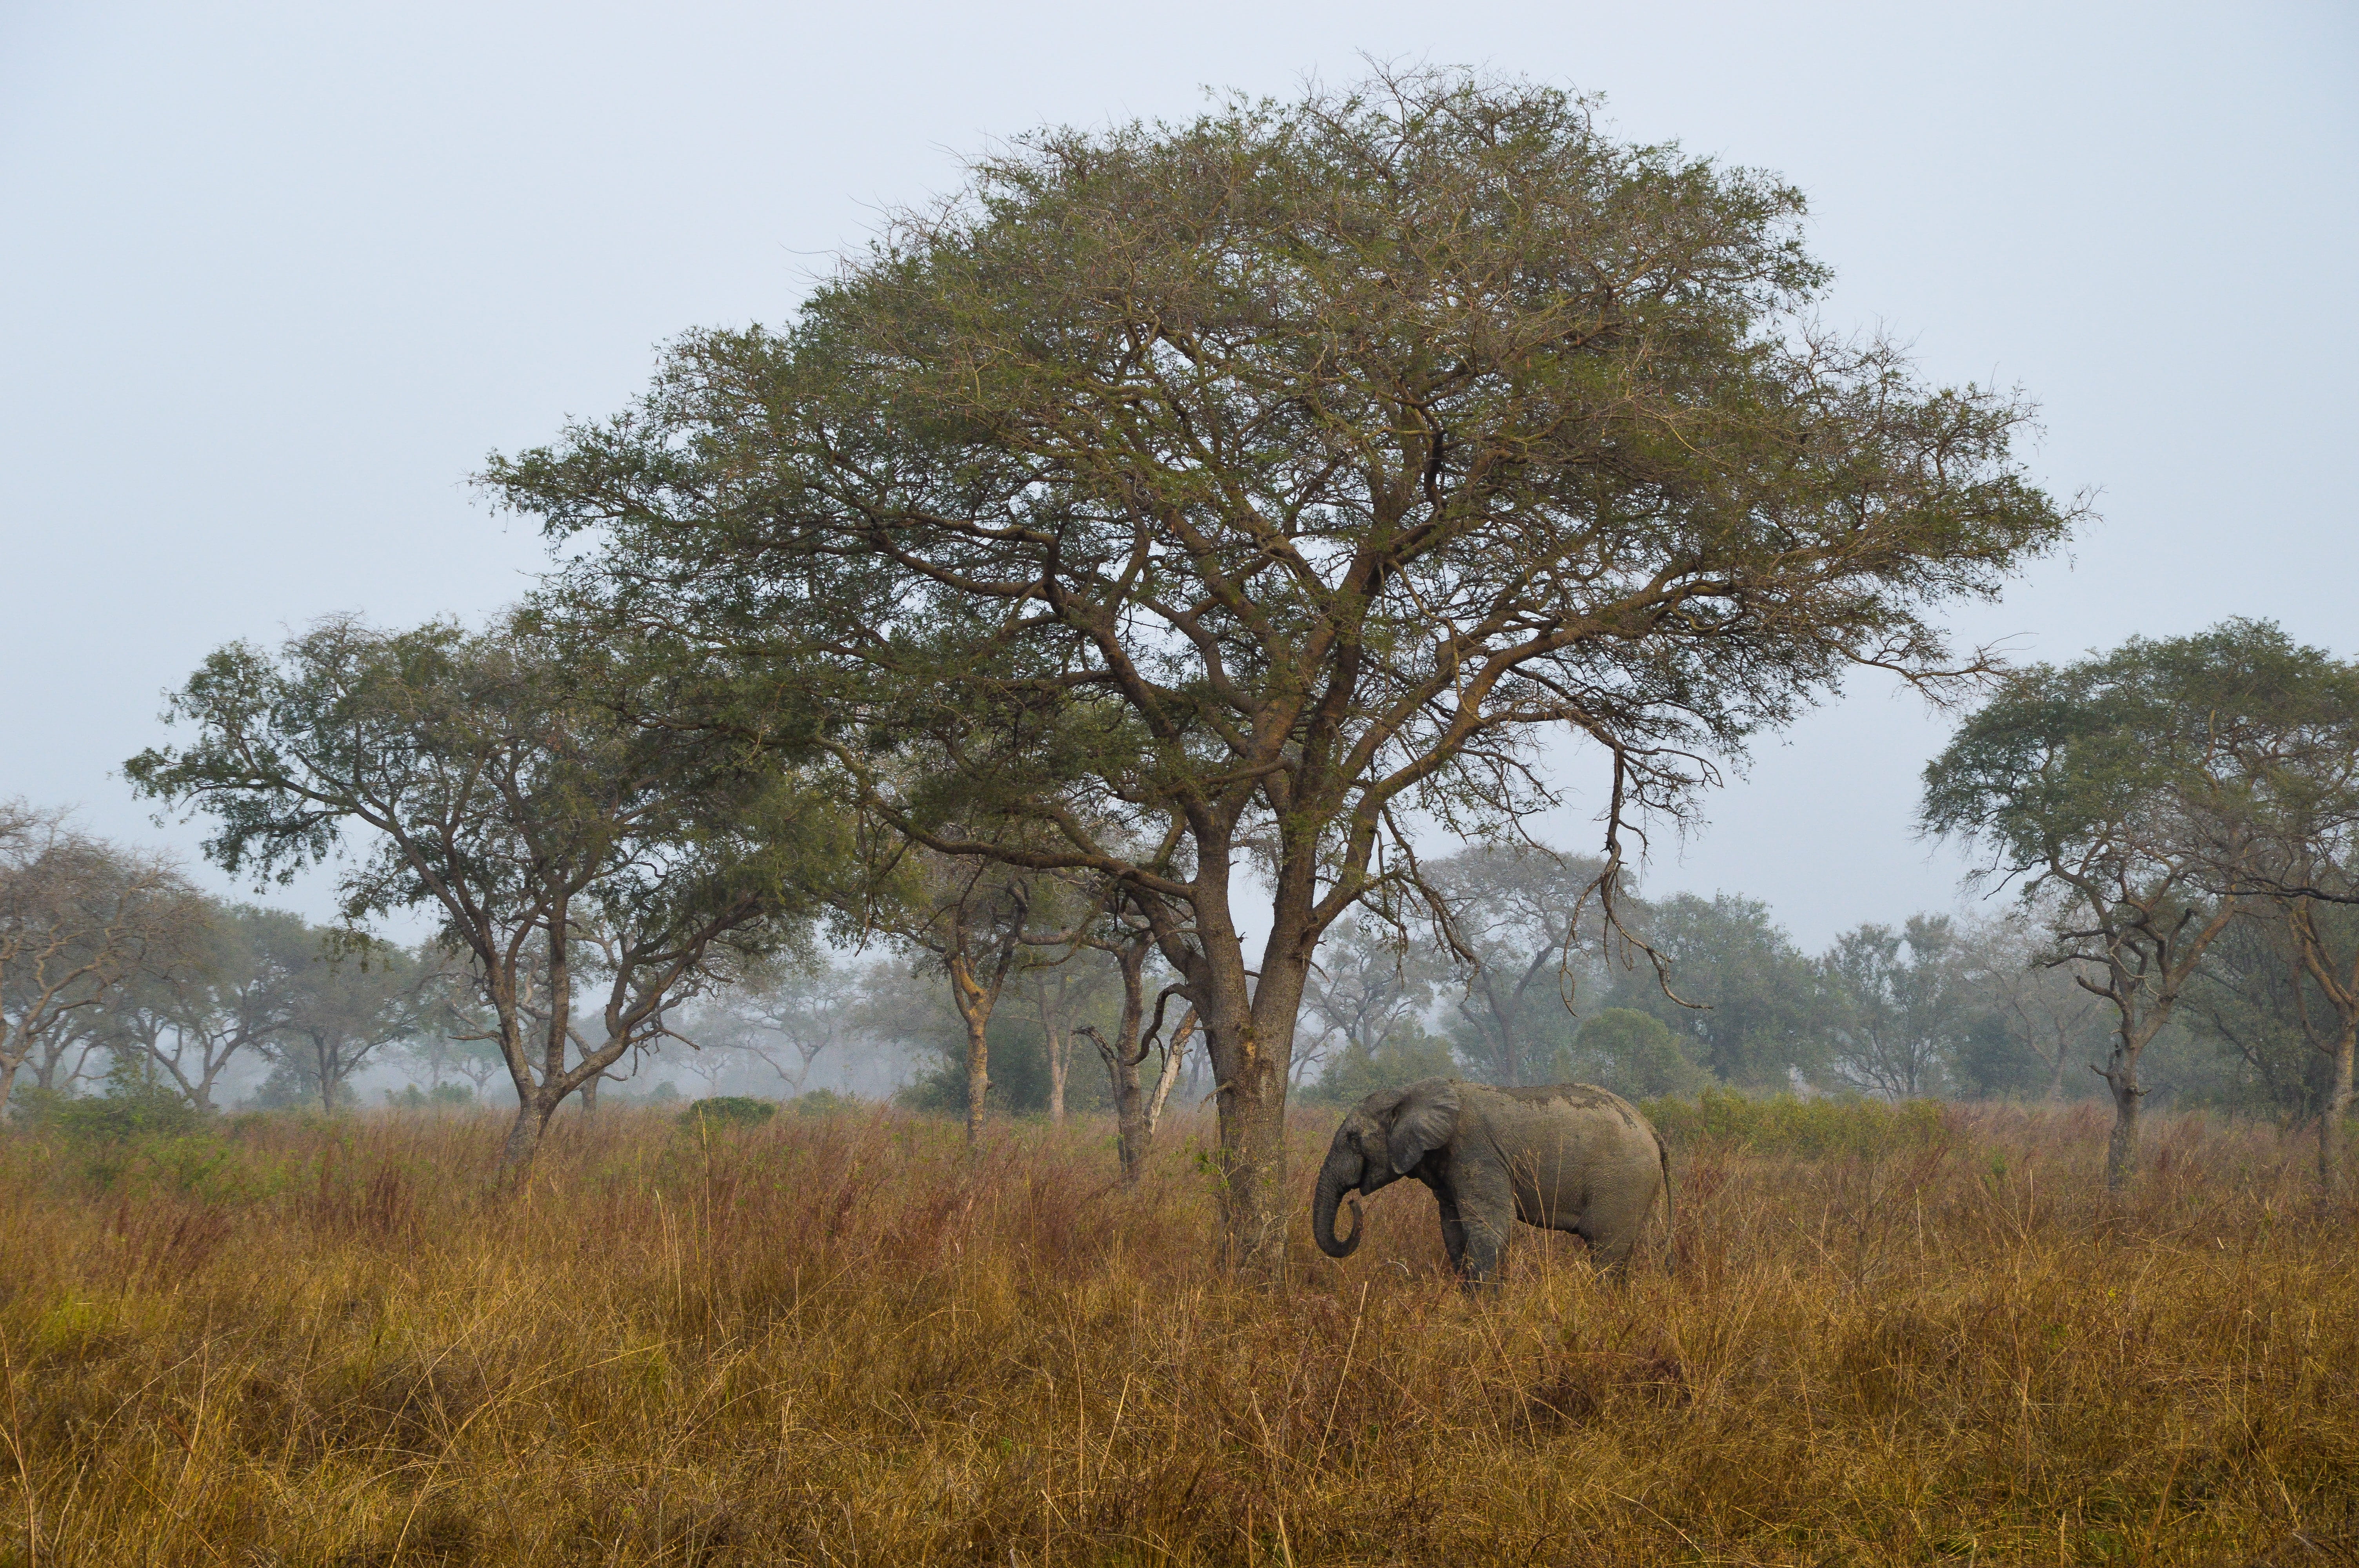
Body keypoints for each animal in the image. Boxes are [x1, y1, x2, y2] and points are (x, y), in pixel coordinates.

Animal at [1311, 1078, 1672, 1287]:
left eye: (1353, 1139)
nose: (1354, 1202)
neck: (1411, 1090)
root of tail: (1652, 1130)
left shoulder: (1477, 1151)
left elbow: (1490, 1224)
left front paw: (1486, 1310)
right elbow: (1453, 1228)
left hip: (1623, 1182)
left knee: (1605, 1249)